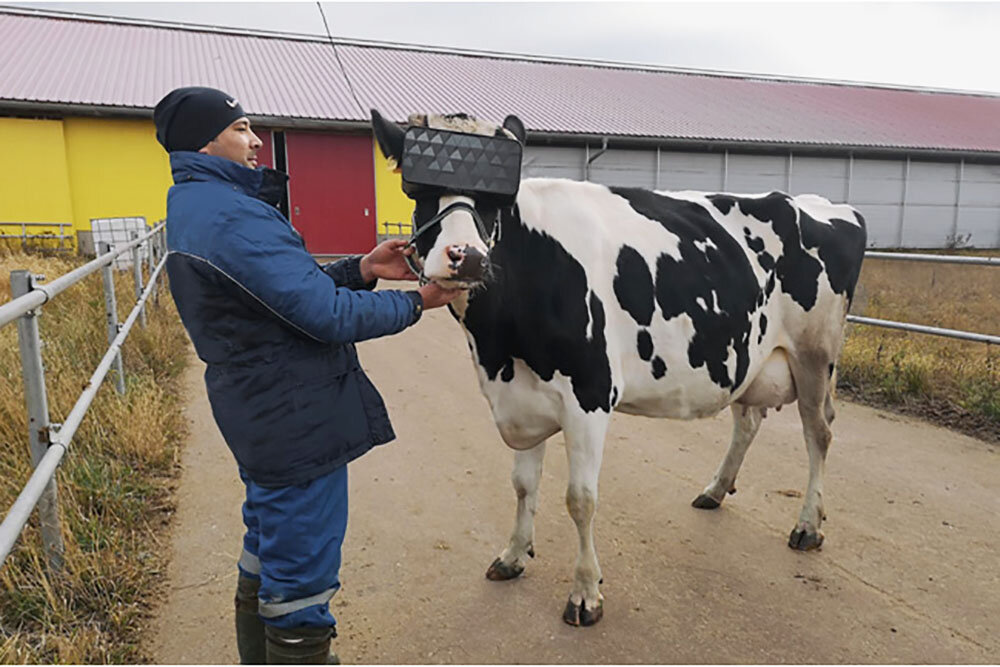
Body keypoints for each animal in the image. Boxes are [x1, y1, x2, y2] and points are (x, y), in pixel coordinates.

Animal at [372, 108, 864, 628]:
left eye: (496, 200)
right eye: (417, 192)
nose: (466, 257)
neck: (498, 348)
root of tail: (823, 204)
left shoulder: (589, 395)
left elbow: (580, 499)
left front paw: (586, 593)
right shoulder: (521, 397)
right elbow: (524, 485)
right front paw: (513, 555)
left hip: (815, 355)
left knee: (818, 433)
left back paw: (808, 525)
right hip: (747, 354)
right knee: (748, 419)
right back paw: (715, 489)